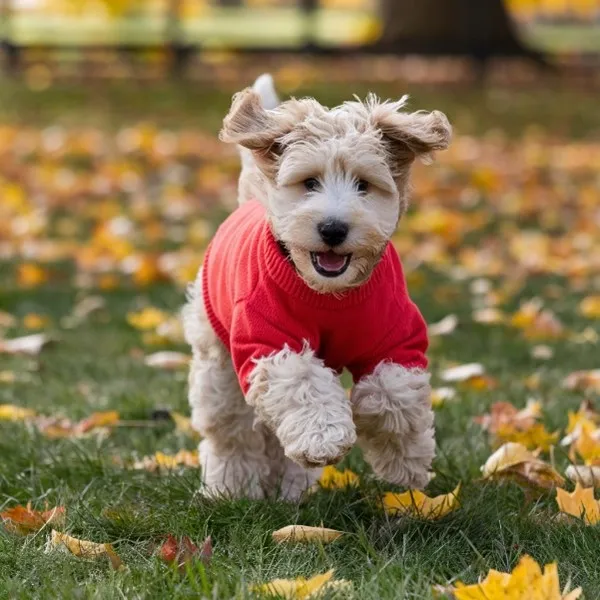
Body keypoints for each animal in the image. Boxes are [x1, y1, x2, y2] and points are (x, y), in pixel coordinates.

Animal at [183, 72, 450, 500]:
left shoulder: (397, 338)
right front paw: (323, 436)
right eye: (309, 182)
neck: (329, 294)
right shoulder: (268, 339)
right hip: (216, 363)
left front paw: (406, 465)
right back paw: (233, 487)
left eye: (363, 184)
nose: (333, 228)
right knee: (231, 431)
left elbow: (392, 394)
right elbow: (300, 380)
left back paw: (292, 487)